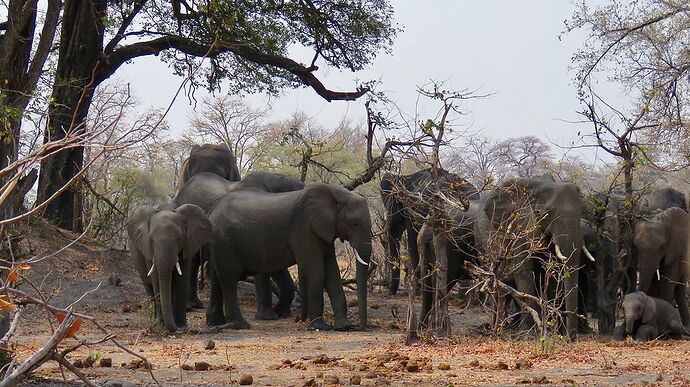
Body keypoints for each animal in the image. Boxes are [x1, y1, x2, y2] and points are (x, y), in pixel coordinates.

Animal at [127, 203, 211, 334]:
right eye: (151, 240)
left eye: (179, 239)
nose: (178, 329)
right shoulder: (148, 249)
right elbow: (156, 280)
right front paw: (162, 326)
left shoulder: (187, 245)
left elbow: (181, 279)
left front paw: (181, 326)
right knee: (149, 288)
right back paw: (155, 320)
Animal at [207, 183, 370, 332]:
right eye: (355, 223)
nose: (356, 327)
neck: (336, 194)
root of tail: (213, 210)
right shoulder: (304, 228)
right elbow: (316, 271)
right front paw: (319, 327)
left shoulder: (325, 231)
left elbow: (332, 273)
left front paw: (343, 327)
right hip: (225, 240)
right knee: (229, 280)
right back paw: (241, 325)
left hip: (219, 242)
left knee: (216, 279)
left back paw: (216, 323)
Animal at [376, 168, 478, 296]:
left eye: (391, 202)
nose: (390, 292)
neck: (404, 177)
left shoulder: (413, 208)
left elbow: (412, 242)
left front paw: (418, 291)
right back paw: (463, 296)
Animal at [476, 174, 588, 338]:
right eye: (545, 214)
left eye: (582, 211)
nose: (570, 339)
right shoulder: (520, 226)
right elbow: (524, 271)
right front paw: (528, 334)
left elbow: (551, 273)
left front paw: (552, 331)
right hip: (482, 241)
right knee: (496, 285)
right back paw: (496, 328)